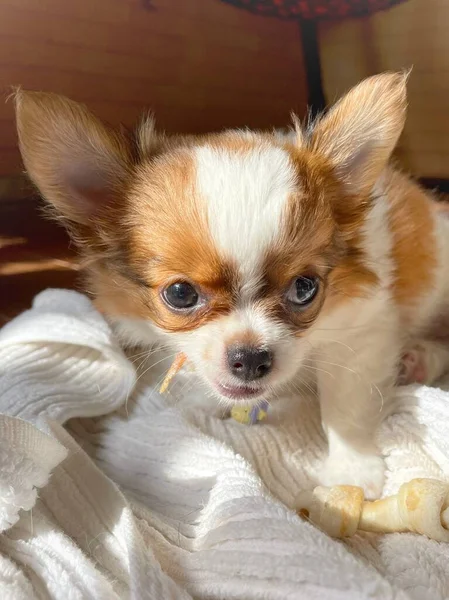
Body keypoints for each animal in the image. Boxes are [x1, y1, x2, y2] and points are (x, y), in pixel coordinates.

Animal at [13, 74, 448, 496]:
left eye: (304, 288)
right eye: (180, 294)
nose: (251, 359)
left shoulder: (361, 331)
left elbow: (345, 408)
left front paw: (351, 471)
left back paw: (420, 360)